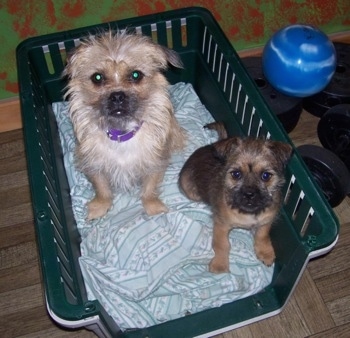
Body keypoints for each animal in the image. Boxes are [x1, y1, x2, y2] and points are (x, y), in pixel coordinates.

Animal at [179, 123, 292, 274]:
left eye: (266, 176)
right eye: (236, 174)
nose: (249, 194)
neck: (249, 213)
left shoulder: (266, 221)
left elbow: (262, 236)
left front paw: (265, 252)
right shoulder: (221, 225)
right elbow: (222, 245)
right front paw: (220, 264)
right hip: (191, 192)